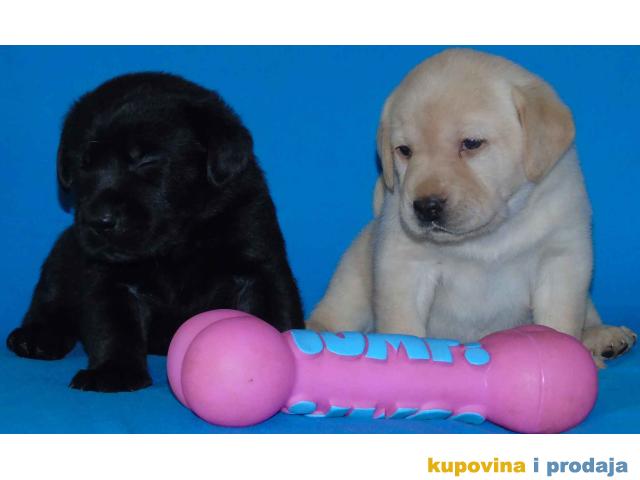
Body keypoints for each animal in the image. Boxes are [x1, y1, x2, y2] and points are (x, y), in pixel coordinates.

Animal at [6, 72, 304, 391]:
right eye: (83, 164)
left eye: (145, 161)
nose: (100, 220)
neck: (180, 242)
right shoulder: (108, 278)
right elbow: (112, 324)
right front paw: (114, 371)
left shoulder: (258, 262)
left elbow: (275, 311)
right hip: (63, 251)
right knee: (50, 296)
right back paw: (36, 336)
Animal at [308, 49, 636, 368]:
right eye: (404, 151)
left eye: (472, 143)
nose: (425, 206)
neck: (488, 235)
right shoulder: (403, 266)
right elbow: (403, 326)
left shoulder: (561, 258)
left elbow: (560, 320)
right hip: (354, 277)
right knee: (334, 314)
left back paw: (602, 337)